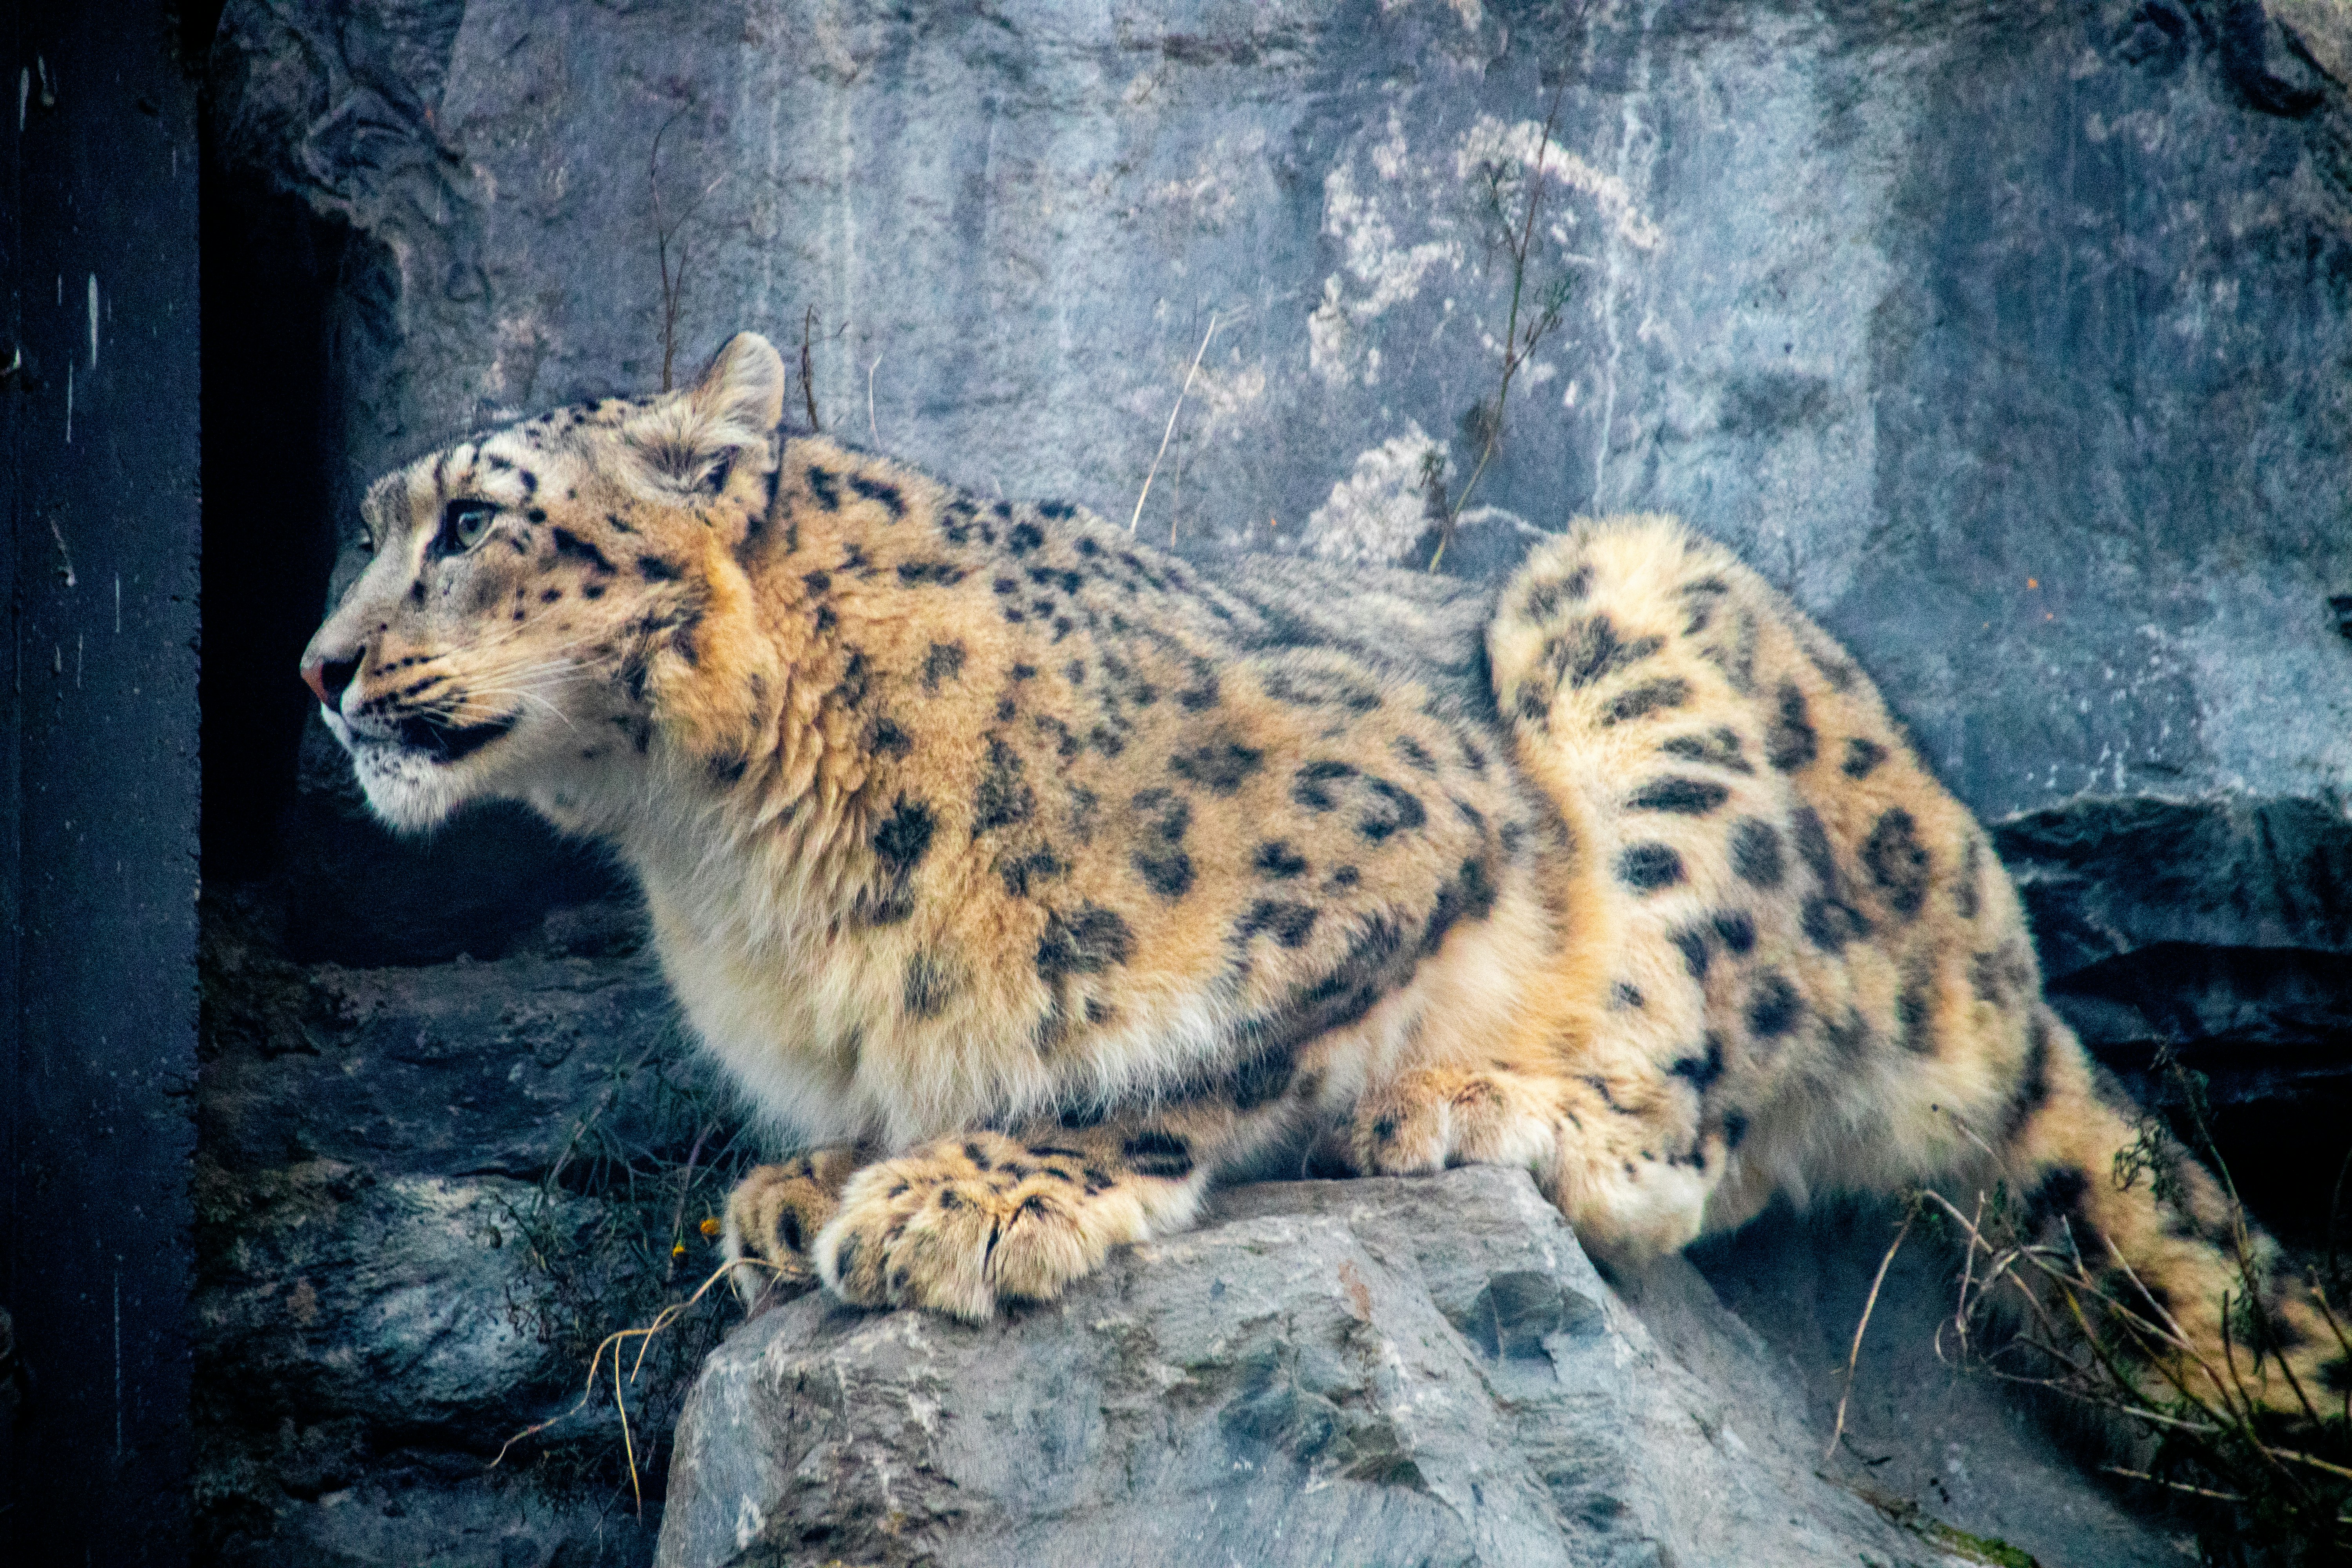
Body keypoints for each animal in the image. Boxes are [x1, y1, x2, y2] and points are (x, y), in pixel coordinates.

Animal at [300, 331, 2339, 1424]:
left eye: (471, 521)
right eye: (376, 525)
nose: (317, 668)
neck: (714, 855)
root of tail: (2005, 947)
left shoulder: (1395, 825)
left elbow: (1202, 1048)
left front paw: (978, 1190)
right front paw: (806, 1183)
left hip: (1635, 630)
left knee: (1709, 1121)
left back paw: (1480, 1106)